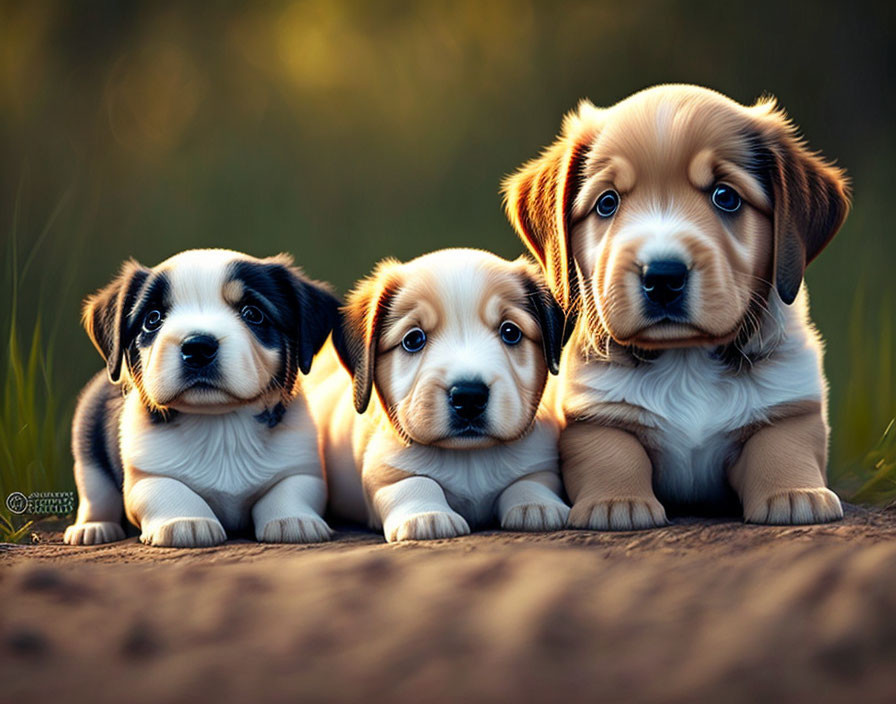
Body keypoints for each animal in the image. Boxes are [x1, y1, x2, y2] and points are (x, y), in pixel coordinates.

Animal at [65, 249, 342, 552]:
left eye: (253, 314)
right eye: (153, 318)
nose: (197, 347)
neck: (220, 424)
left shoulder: (301, 467)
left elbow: (289, 489)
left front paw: (293, 519)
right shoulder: (145, 476)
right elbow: (168, 489)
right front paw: (186, 521)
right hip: (88, 447)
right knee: (96, 493)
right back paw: (92, 528)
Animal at [306, 249, 568, 544]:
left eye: (510, 332)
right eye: (413, 339)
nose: (468, 397)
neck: (469, 458)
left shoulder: (539, 460)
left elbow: (532, 480)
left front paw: (536, 505)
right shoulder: (385, 471)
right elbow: (414, 483)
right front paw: (427, 516)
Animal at [500, 84, 852, 528]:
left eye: (726, 197)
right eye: (607, 203)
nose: (663, 276)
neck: (684, 359)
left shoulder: (789, 402)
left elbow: (782, 446)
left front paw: (795, 494)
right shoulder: (595, 414)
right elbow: (612, 456)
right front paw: (617, 503)